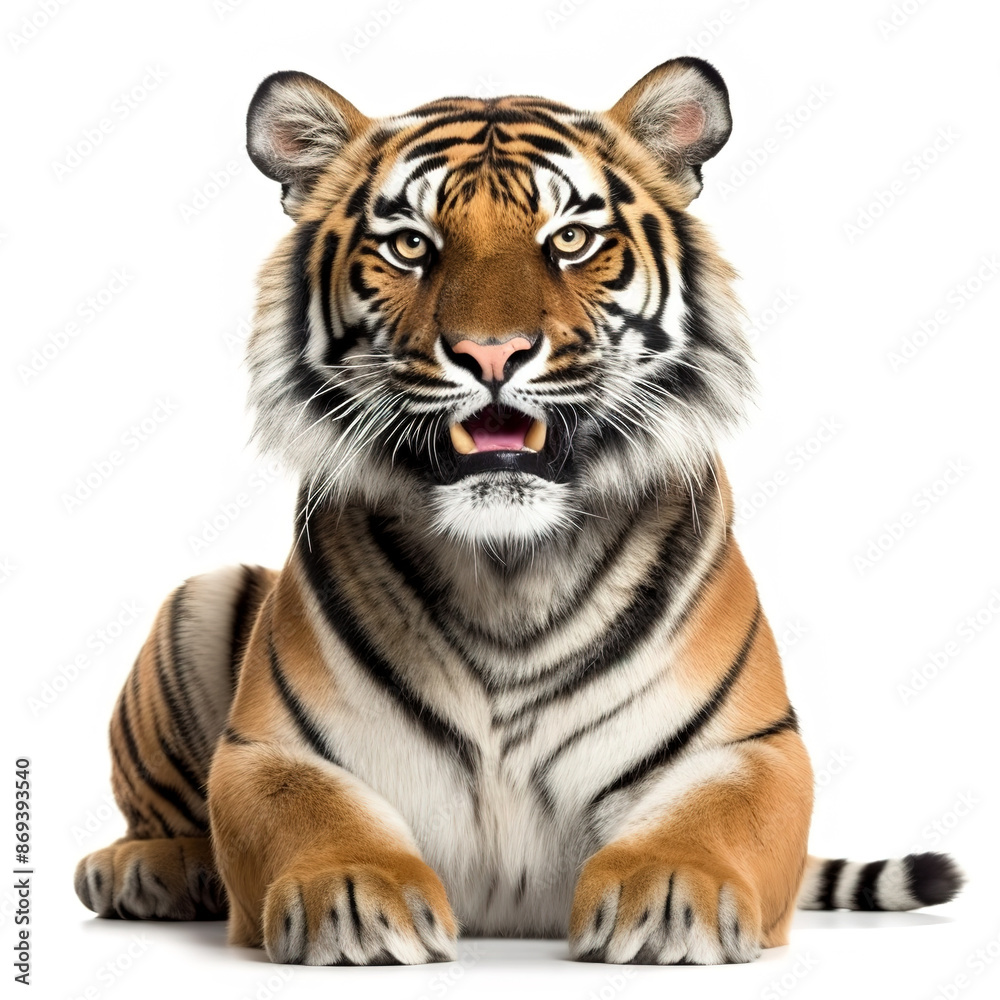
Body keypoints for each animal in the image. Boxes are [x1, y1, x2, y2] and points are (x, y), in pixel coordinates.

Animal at [74, 57, 963, 966]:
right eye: (410, 244)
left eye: (569, 239)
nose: (491, 352)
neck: (508, 565)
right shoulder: (267, 749)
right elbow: (308, 812)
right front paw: (354, 892)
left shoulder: (754, 747)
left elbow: (713, 818)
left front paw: (671, 892)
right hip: (200, 597)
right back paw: (151, 869)